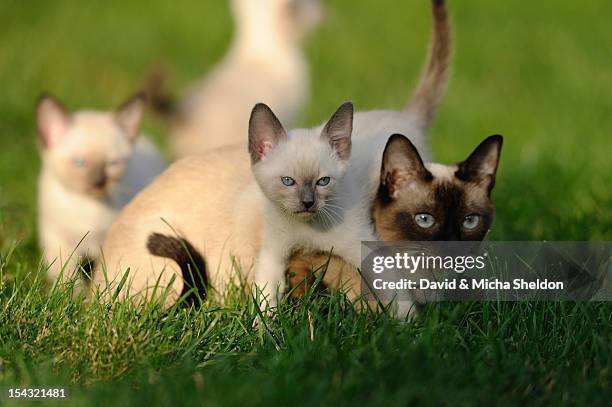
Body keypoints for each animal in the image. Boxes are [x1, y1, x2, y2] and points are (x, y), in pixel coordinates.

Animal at [38, 94, 167, 288]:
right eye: (80, 163)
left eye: (112, 164)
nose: (98, 183)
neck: (88, 207)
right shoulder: (59, 240)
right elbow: (67, 277)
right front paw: (76, 295)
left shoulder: (109, 242)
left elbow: (105, 274)